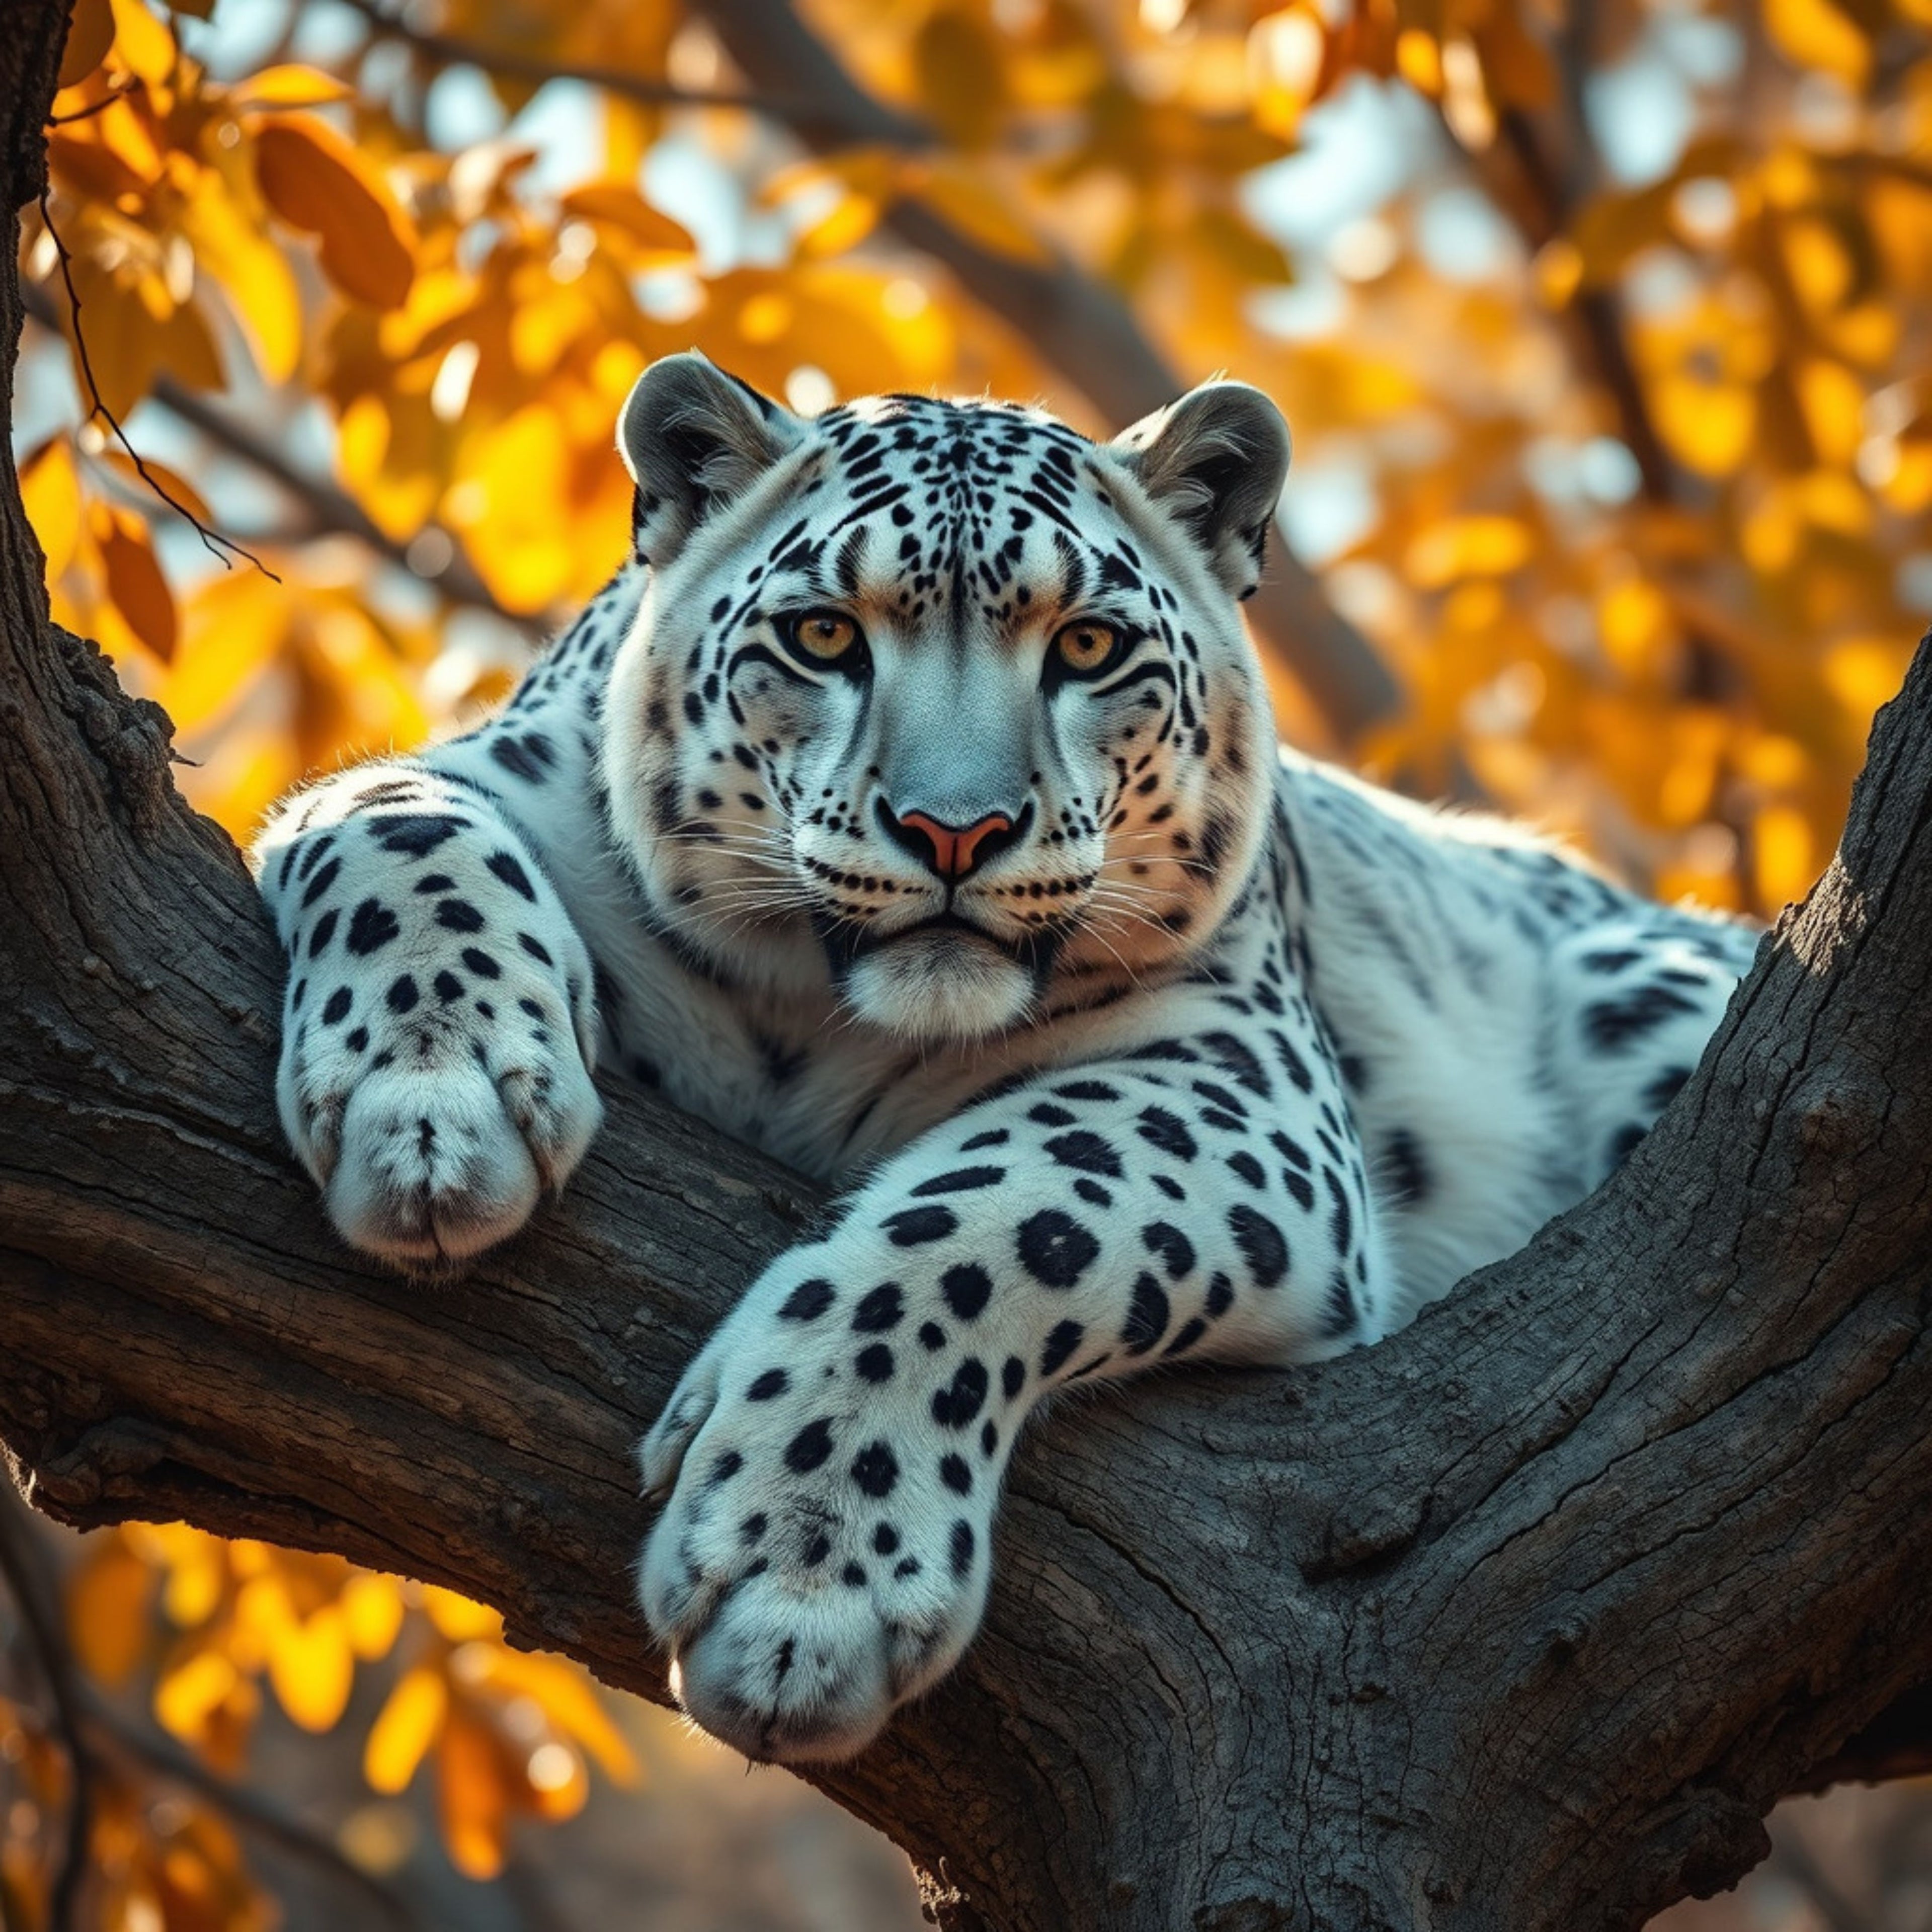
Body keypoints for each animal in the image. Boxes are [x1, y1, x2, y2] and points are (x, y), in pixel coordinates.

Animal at [254, 351, 1759, 1765]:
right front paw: (434, 1110)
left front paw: (805, 1573)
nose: (954, 830)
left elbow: (998, 1226)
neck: (812, 1023)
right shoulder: (484, 777)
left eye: (1088, 646)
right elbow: (400, 824)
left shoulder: (1237, 1070)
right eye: (822, 634)